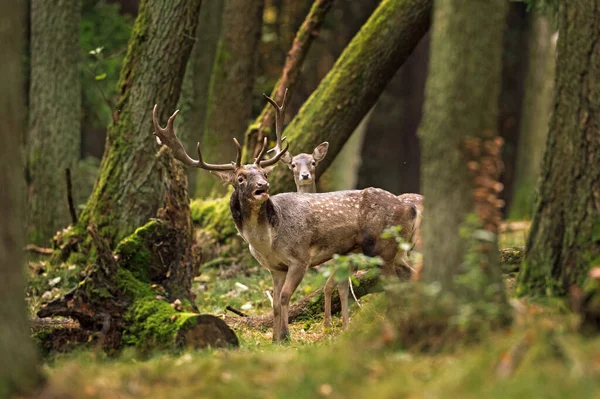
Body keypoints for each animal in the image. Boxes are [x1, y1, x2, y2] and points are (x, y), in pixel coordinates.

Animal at [154, 101, 418, 342]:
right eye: (240, 178)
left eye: (264, 173)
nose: (263, 186)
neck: (268, 240)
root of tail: (409, 207)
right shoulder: (274, 267)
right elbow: (273, 301)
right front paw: (275, 339)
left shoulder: (300, 258)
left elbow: (284, 297)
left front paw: (285, 336)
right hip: (392, 251)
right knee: (409, 273)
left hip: (382, 247)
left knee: (396, 283)